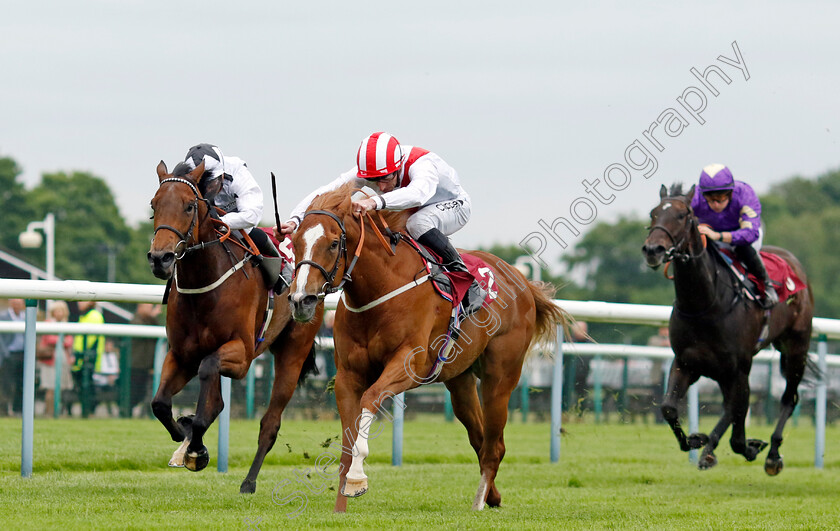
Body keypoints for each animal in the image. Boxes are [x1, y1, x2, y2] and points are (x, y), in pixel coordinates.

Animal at [147, 161, 322, 494]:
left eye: (189, 206)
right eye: (154, 204)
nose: (160, 258)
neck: (204, 285)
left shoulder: (241, 356)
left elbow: (208, 378)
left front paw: (196, 449)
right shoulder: (181, 355)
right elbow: (160, 403)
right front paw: (184, 435)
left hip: (293, 352)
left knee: (270, 422)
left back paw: (248, 481)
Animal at [288, 183, 572, 512]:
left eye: (334, 244)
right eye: (295, 243)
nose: (301, 300)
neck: (382, 288)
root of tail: (523, 281)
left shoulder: (410, 365)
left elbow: (371, 398)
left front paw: (358, 479)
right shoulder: (348, 374)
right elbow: (348, 436)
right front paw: (340, 505)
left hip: (500, 378)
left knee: (495, 445)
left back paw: (479, 501)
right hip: (460, 381)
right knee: (480, 438)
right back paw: (493, 496)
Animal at [644, 185, 812, 476]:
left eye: (682, 215)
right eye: (654, 213)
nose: (653, 249)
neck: (706, 303)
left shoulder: (740, 367)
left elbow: (738, 423)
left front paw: (750, 447)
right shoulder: (686, 362)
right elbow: (668, 408)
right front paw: (696, 440)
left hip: (796, 348)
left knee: (788, 398)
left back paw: (773, 454)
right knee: (729, 407)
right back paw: (710, 449)